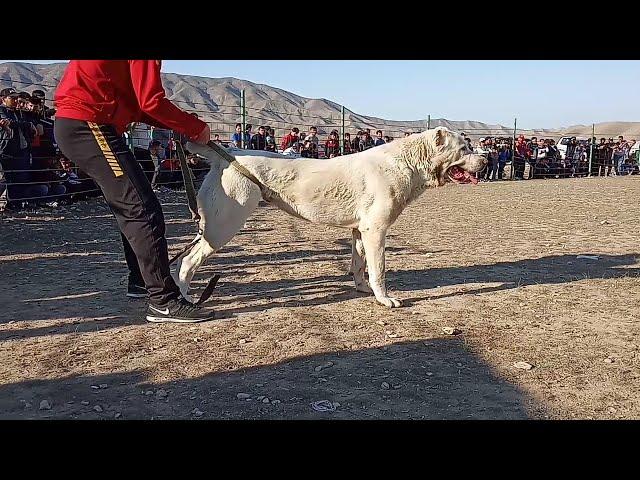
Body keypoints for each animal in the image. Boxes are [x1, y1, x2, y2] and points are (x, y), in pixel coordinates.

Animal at [175, 127, 484, 308]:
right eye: (464, 148)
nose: (485, 160)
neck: (408, 162)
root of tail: (228, 155)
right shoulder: (376, 231)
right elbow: (379, 270)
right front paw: (384, 299)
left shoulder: (360, 231)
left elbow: (359, 264)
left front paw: (362, 289)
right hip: (224, 225)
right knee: (188, 260)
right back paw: (184, 298)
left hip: (213, 225)